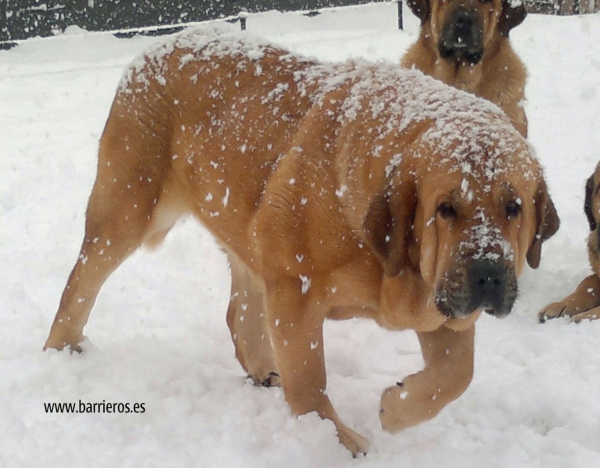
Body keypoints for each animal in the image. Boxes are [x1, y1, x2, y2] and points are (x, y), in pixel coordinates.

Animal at [44, 29, 560, 454]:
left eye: (514, 207)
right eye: (446, 208)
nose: (488, 274)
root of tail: (157, 46)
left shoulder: (441, 310)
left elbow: (456, 376)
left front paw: (395, 408)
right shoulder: (296, 289)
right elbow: (311, 377)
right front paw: (334, 441)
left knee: (239, 313)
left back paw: (261, 369)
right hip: (127, 210)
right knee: (81, 281)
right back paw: (61, 350)